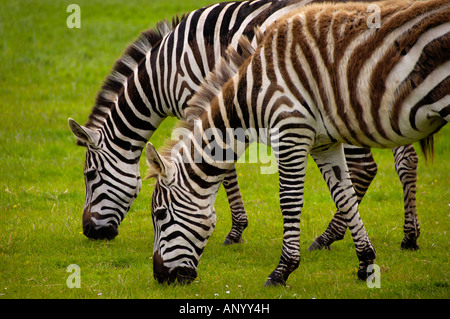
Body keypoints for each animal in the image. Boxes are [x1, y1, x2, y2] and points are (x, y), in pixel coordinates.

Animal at [67, 0, 422, 249]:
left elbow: (223, 172)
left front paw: (235, 230)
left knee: (365, 168)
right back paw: (410, 235)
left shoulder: (199, 101)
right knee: (406, 159)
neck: (163, 73)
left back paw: (328, 236)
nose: (89, 233)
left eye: (89, 175)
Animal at [146, 0, 448, 288]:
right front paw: (366, 264)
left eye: (160, 215)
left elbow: (288, 200)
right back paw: (407, 237)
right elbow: (344, 196)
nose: (160, 277)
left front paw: (281, 271)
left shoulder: (290, 132)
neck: (252, 92)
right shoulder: (324, 144)